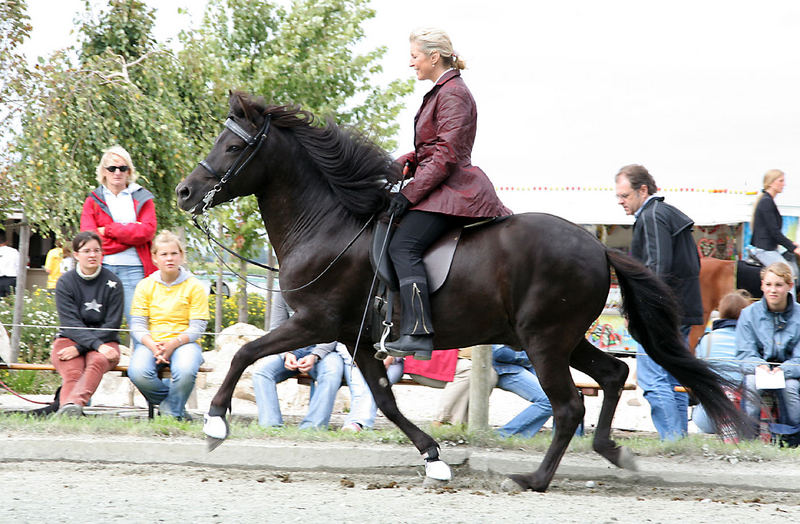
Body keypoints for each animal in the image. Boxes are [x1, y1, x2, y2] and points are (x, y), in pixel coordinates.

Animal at [177, 91, 752, 492]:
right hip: (558, 336)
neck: (331, 226)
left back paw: (535, 480)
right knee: (611, 374)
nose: (184, 192)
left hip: (543, 340)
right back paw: (613, 452)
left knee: (569, 405)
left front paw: (215, 425)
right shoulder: (360, 340)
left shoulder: (316, 322)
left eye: (233, 146)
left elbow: (246, 353)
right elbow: (385, 400)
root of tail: (598, 248)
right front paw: (433, 459)